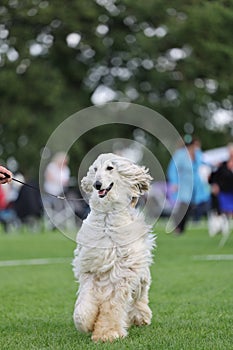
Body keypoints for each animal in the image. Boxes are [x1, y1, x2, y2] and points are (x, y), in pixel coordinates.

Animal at [73, 153, 156, 342]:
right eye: (95, 169)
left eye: (110, 168)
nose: (97, 184)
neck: (107, 216)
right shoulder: (90, 269)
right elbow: (83, 306)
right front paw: (87, 324)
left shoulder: (121, 274)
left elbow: (112, 306)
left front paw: (107, 333)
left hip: (140, 274)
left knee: (140, 294)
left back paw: (141, 317)